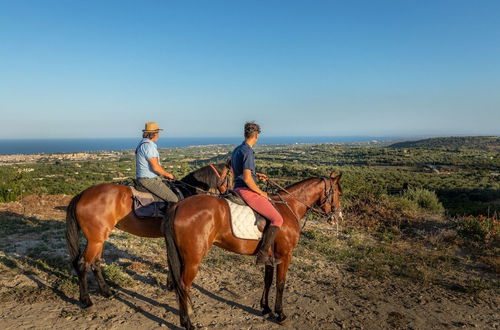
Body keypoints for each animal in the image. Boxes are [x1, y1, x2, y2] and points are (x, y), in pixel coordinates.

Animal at [64, 161, 232, 308]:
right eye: (231, 175)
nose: (230, 194)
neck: (187, 193)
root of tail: (82, 195)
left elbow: (169, 259)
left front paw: (170, 284)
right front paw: (172, 284)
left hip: (99, 239)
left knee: (96, 263)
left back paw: (107, 292)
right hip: (95, 239)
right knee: (82, 264)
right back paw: (86, 300)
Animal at [166, 171, 342, 328]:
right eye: (338, 193)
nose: (338, 217)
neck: (289, 206)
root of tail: (178, 206)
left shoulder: (270, 256)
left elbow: (268, 280)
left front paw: (266, 308)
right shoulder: (285, 255)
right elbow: (281, 283)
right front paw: (280, 314)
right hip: (193, 260)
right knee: (183, 286)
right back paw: (187, 323)